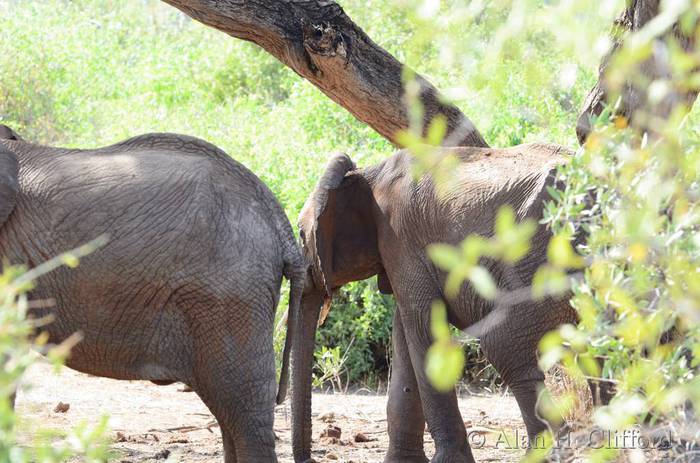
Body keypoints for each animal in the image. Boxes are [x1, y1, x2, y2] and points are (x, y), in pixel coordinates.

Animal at [291, 143, 590, 463]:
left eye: (301, 235)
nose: (311, 458)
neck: (368, 175)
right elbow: (406, 338)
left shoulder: (400, 240)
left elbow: (423, 332)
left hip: (547, 257)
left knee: (505, 348)